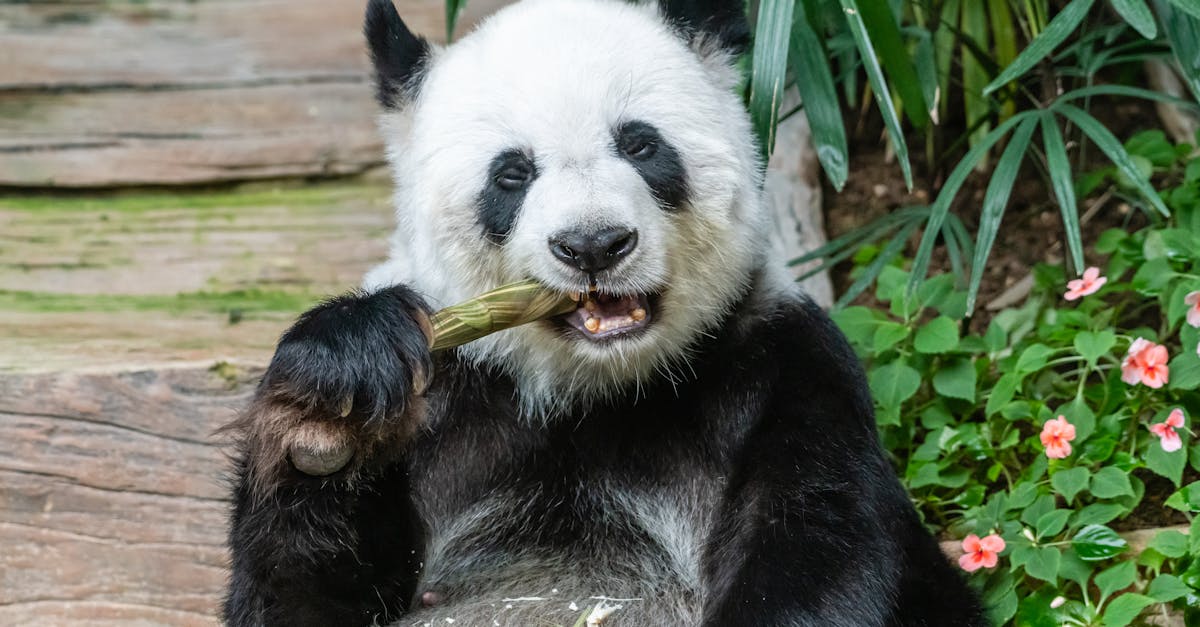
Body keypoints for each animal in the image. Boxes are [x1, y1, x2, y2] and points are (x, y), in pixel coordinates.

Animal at [223, 0, 988, 625]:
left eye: (641, 143)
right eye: (512, 174)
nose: (593, 244)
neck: (592, 389)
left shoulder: (782, 364)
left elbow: (818, 542)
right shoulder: (449, 396)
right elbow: (294, 599)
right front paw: (331, 410)